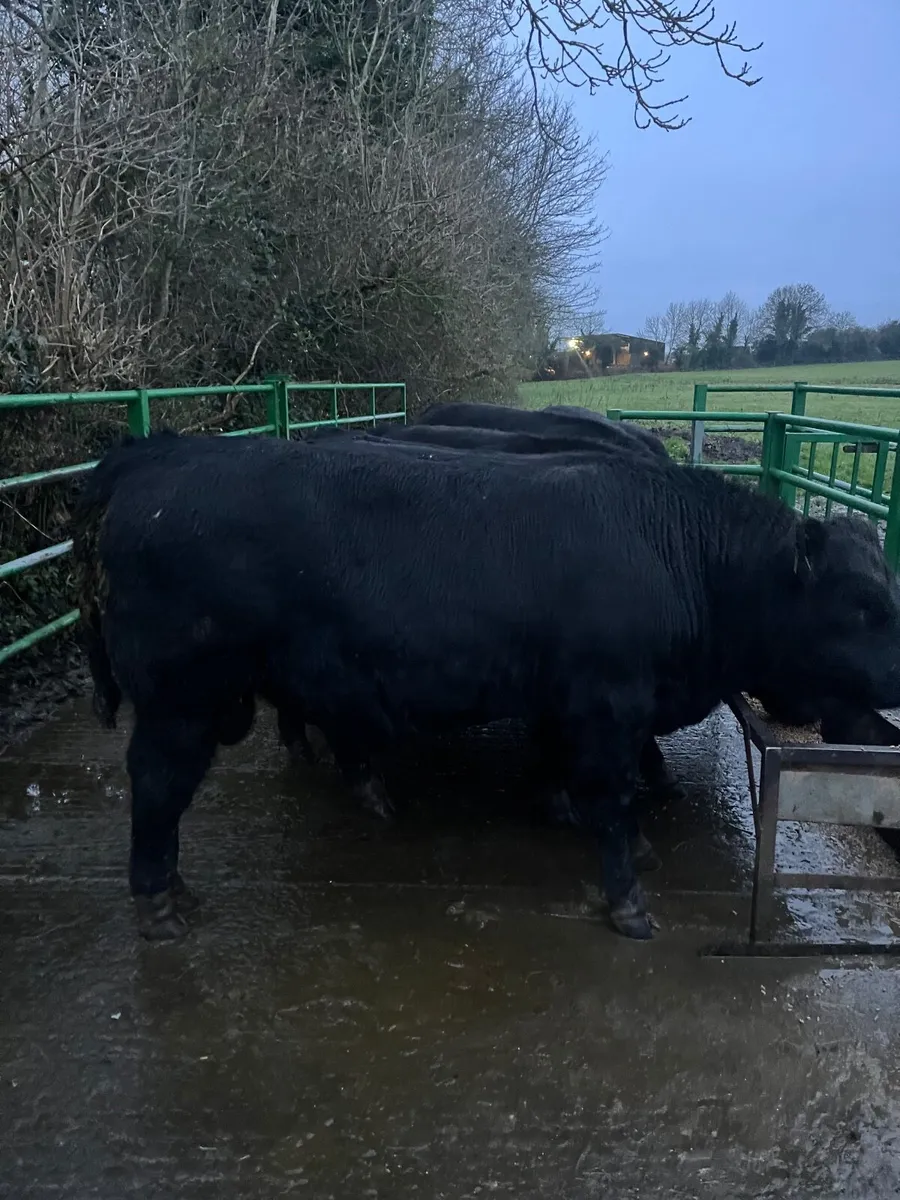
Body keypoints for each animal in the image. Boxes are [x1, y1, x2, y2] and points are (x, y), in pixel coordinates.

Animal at [72, 430, 900, 945]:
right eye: (860, 603)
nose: (898, 670)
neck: (676, 553)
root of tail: (161, 453)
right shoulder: (608, 705)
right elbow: (610, 797)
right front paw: (628, 898)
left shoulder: (575, 706)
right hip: (181, 700)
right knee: (158, 786)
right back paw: (158, 902)